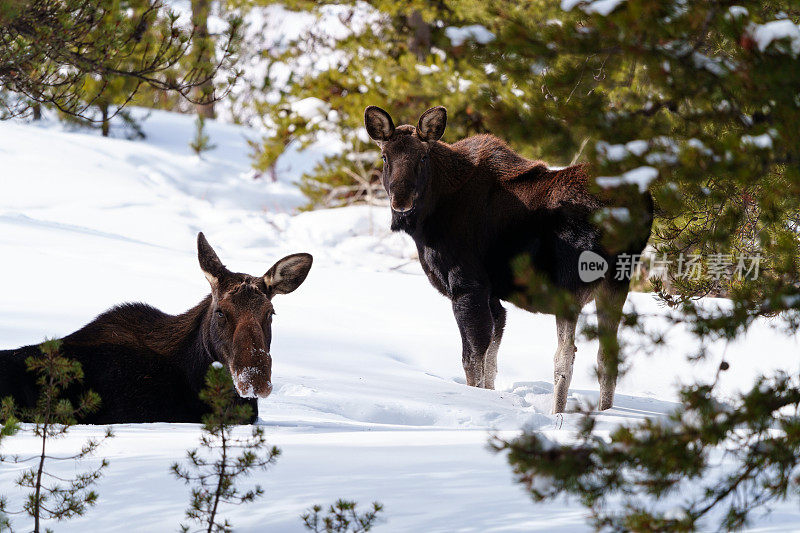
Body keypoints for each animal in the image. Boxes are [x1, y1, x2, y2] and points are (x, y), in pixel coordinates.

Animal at [366, 104, 652, 412]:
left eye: (422, 156)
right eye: (385, 156)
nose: (401, 201)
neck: (428, 220)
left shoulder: (467, 286)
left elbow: (473, 361)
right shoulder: (494, 296)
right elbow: (491, 361)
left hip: (570, 283)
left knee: (565, 356)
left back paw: (558, 416)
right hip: (617, 279)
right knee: (608, 355)